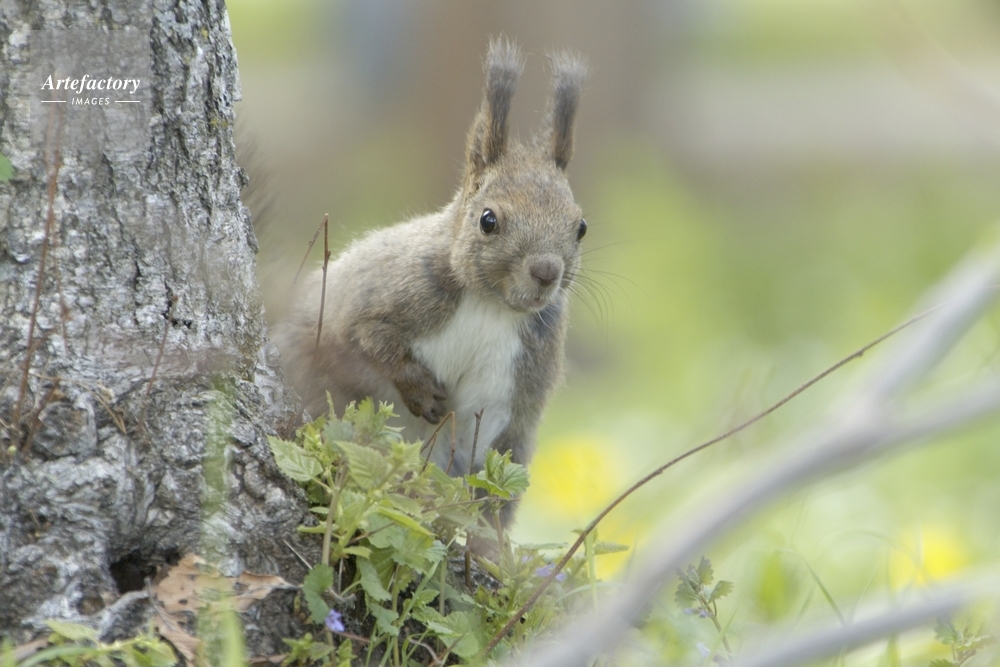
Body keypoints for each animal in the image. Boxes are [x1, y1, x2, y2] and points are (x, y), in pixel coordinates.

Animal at [274, 38, 587, 506]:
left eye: (580, 227)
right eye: (488, 220)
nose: (546, 271)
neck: (490, 305)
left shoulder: (513, 383)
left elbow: (490, 443)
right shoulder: (387, 292)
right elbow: (369, 335)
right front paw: (422, 392)